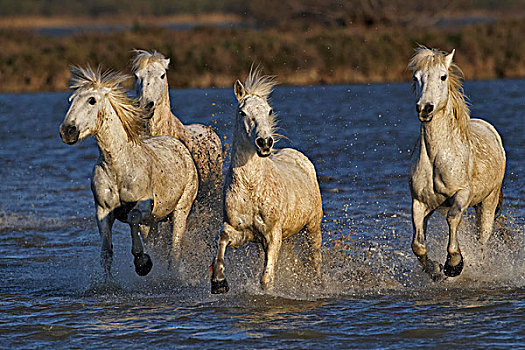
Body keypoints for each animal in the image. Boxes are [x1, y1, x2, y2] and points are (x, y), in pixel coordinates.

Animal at [57, 66, 196, 282]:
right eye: (71, 100)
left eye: (92, 100)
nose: (67, 131)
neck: (119, 166)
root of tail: (179, 146)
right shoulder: (103, 211)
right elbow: (106, 252)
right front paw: (108, 284)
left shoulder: (144, 206)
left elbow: (132, 218)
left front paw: (142, 263)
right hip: (154, 222)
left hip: (181, 210)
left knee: (174, 249)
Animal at [209, 67, 324, 292]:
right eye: (242, 112)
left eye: (269, 111)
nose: (264, 143)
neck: (252, 186)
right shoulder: (242, 231)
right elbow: (222, 238)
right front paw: (218, 282)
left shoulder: (273, 234)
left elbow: (266, 278)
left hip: (313, 227)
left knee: (316, 259)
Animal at [408, 46, 506, 280]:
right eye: (416, 77)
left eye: (443, 76)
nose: (425, 108)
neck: (436, 157)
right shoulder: (419, 202)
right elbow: (418, 245)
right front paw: (435, 269)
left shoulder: (462, 194)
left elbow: (453, 219)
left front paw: (454, 264)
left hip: (488, 203)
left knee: (482, 239)